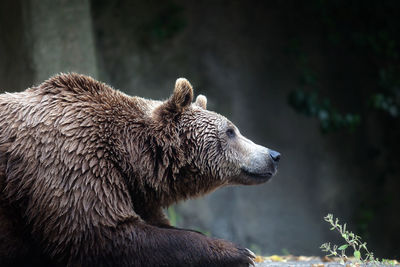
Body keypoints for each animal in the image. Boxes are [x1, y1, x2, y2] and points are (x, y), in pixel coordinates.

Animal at [0, 73, 280, 267]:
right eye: (231, 131)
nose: (273, 156)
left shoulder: (134, 188)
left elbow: (157, 225)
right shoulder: (71, 159)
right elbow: (105, 234)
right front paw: (240, 251)